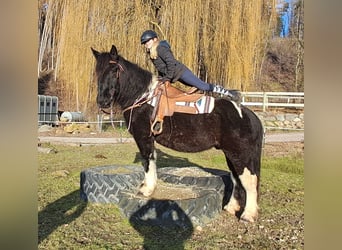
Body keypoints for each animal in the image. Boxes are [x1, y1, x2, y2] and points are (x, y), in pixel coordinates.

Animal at [91, 45, 264, 223]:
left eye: (114, 70)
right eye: (97, 72)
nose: (102, 101)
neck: (143, 97)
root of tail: (249, 115)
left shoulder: (143, 137)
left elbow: (147, 161)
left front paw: (146, 189)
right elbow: (152, 160)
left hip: (239, 154)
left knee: (249, 180)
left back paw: (248, 215)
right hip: (230, 154)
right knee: (236, 179)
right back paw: (230, 207)